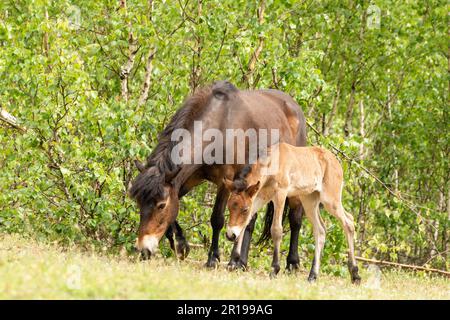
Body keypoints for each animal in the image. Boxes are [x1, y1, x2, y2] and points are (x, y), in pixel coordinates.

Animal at [128, 80, 308, 270]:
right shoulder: (190, 179)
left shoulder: (225, 182)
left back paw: (292, 263)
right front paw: (181, 245)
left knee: (295, 217)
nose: (143, 249)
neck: (219, 126)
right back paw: (239, 262)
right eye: (139, 203)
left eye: (161, 205)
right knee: (250, 219)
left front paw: (212, 258)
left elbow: (217, 219)